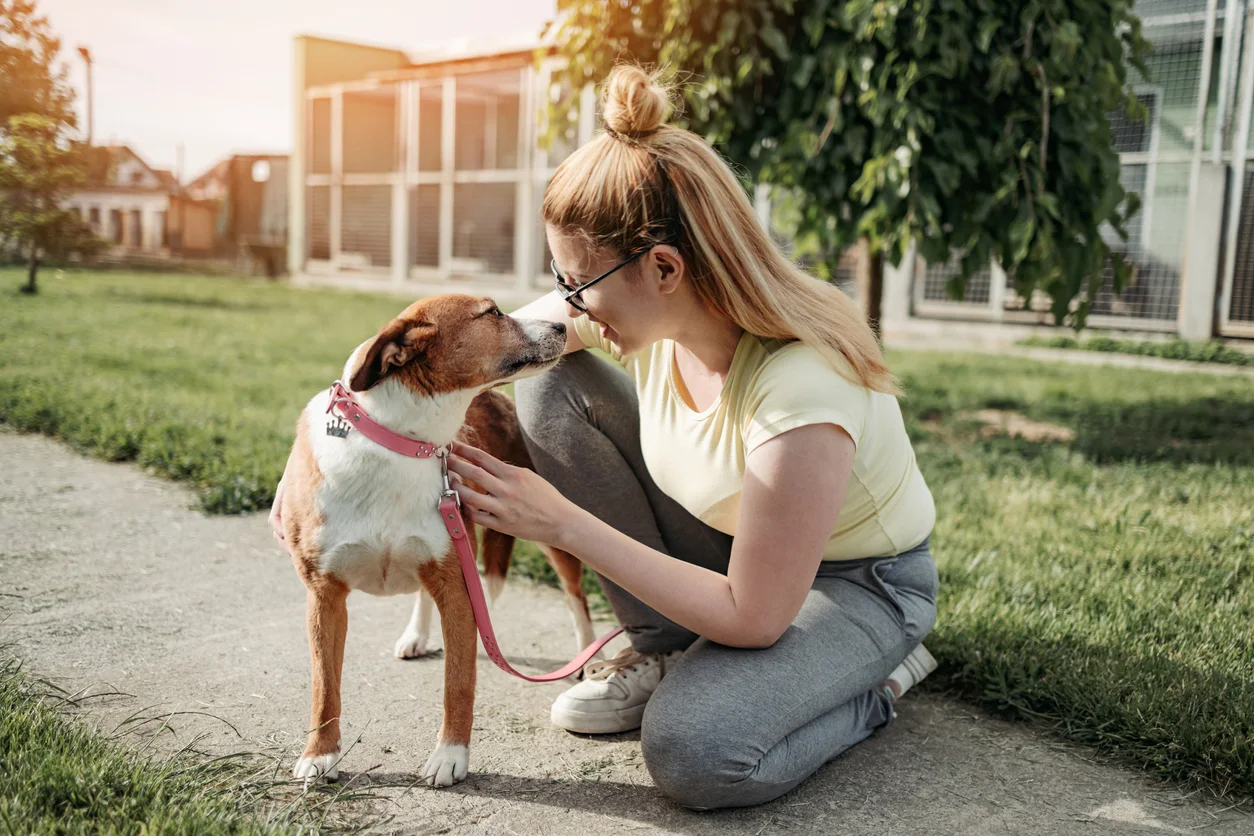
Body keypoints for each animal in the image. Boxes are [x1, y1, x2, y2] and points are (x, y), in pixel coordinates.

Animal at [282, 293, 594, 787]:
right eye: (492, 313)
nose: (563, 325)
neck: (402, 443)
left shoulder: (459, 591)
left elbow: (458, 684)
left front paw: (451, 756)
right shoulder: (324, 596)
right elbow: (324, 686)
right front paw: (320, 754)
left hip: (551, 533)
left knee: (575, 595)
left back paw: (584, 658)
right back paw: (417, 635)